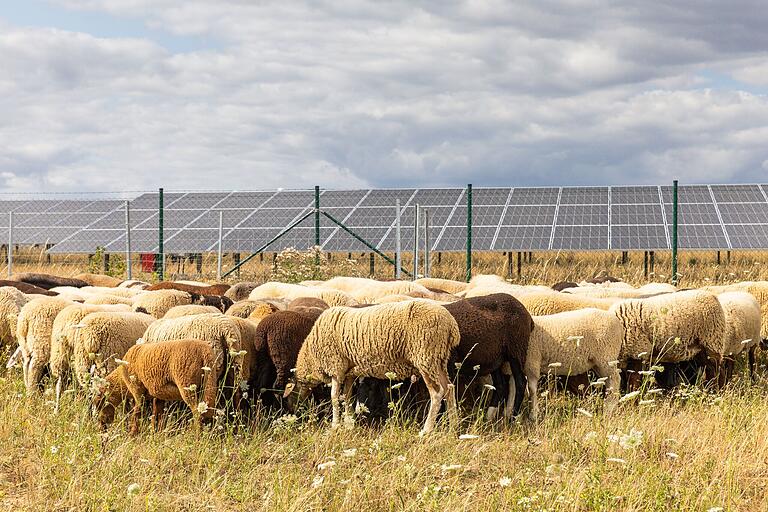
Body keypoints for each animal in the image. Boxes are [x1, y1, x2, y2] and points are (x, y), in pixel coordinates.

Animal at [286, 302, 456, 434]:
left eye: (290, 396)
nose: (294, 413)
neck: (311, 357)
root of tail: (451, 325)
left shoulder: (336, 367)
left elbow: (334, 397)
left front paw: (335, 425)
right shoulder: (349, 372)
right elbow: (347, 397)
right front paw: (349, 423)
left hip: (425, 356)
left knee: (437, 393)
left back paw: (426, 430)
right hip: (438, 359)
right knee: (449, 388)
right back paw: (453, 425)